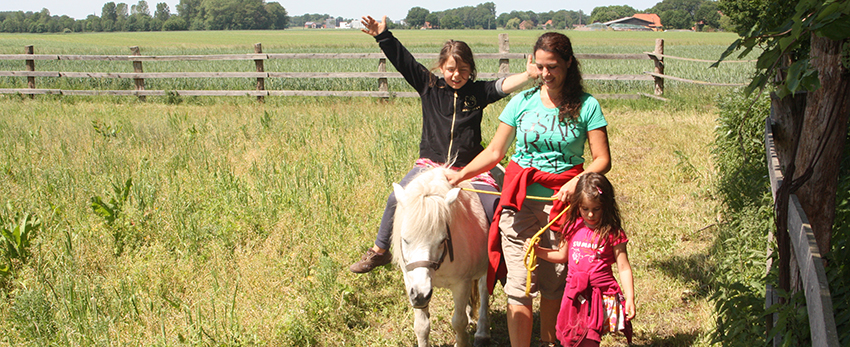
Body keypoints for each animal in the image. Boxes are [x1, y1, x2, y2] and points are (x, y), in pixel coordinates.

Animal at [390, 167, 490, 347]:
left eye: (443, 240)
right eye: (405, 239)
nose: (421, 296)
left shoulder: (461, 284)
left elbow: (459, 322)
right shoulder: (411, 282)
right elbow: (422, 326)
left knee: (484, 291)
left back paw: (482, 334)